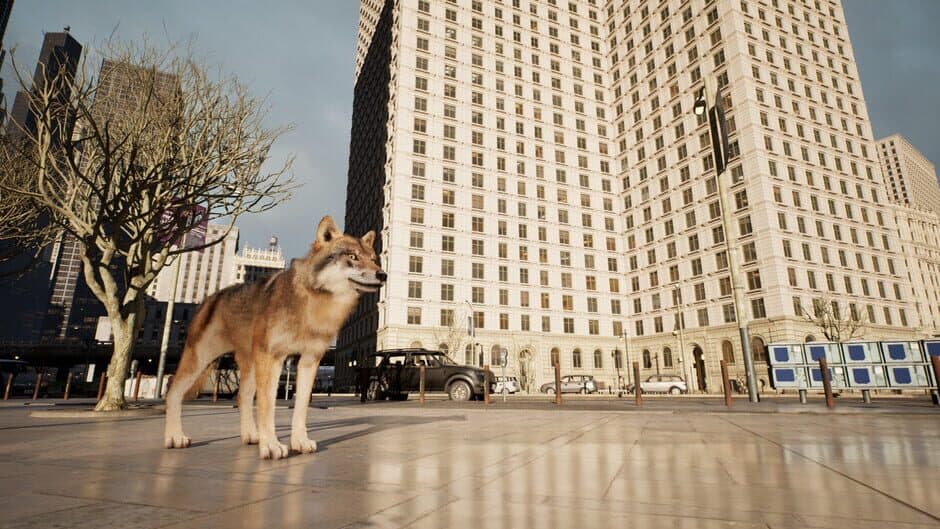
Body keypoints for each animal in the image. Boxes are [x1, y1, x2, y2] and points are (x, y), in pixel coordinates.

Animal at [163, 216, 385, 459]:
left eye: (373, 259)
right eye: (352, 257)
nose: (382, 274)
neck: (313, 302)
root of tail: (209, 298)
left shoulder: (309, 361)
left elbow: (300, 407)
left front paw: (299, 442)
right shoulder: (274, 358)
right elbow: (267, 406)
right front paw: (271, 445)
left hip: (250, 366)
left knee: (242, 397)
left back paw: (251, 436)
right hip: (201, 361)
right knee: (173, 393)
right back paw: (174, 437)